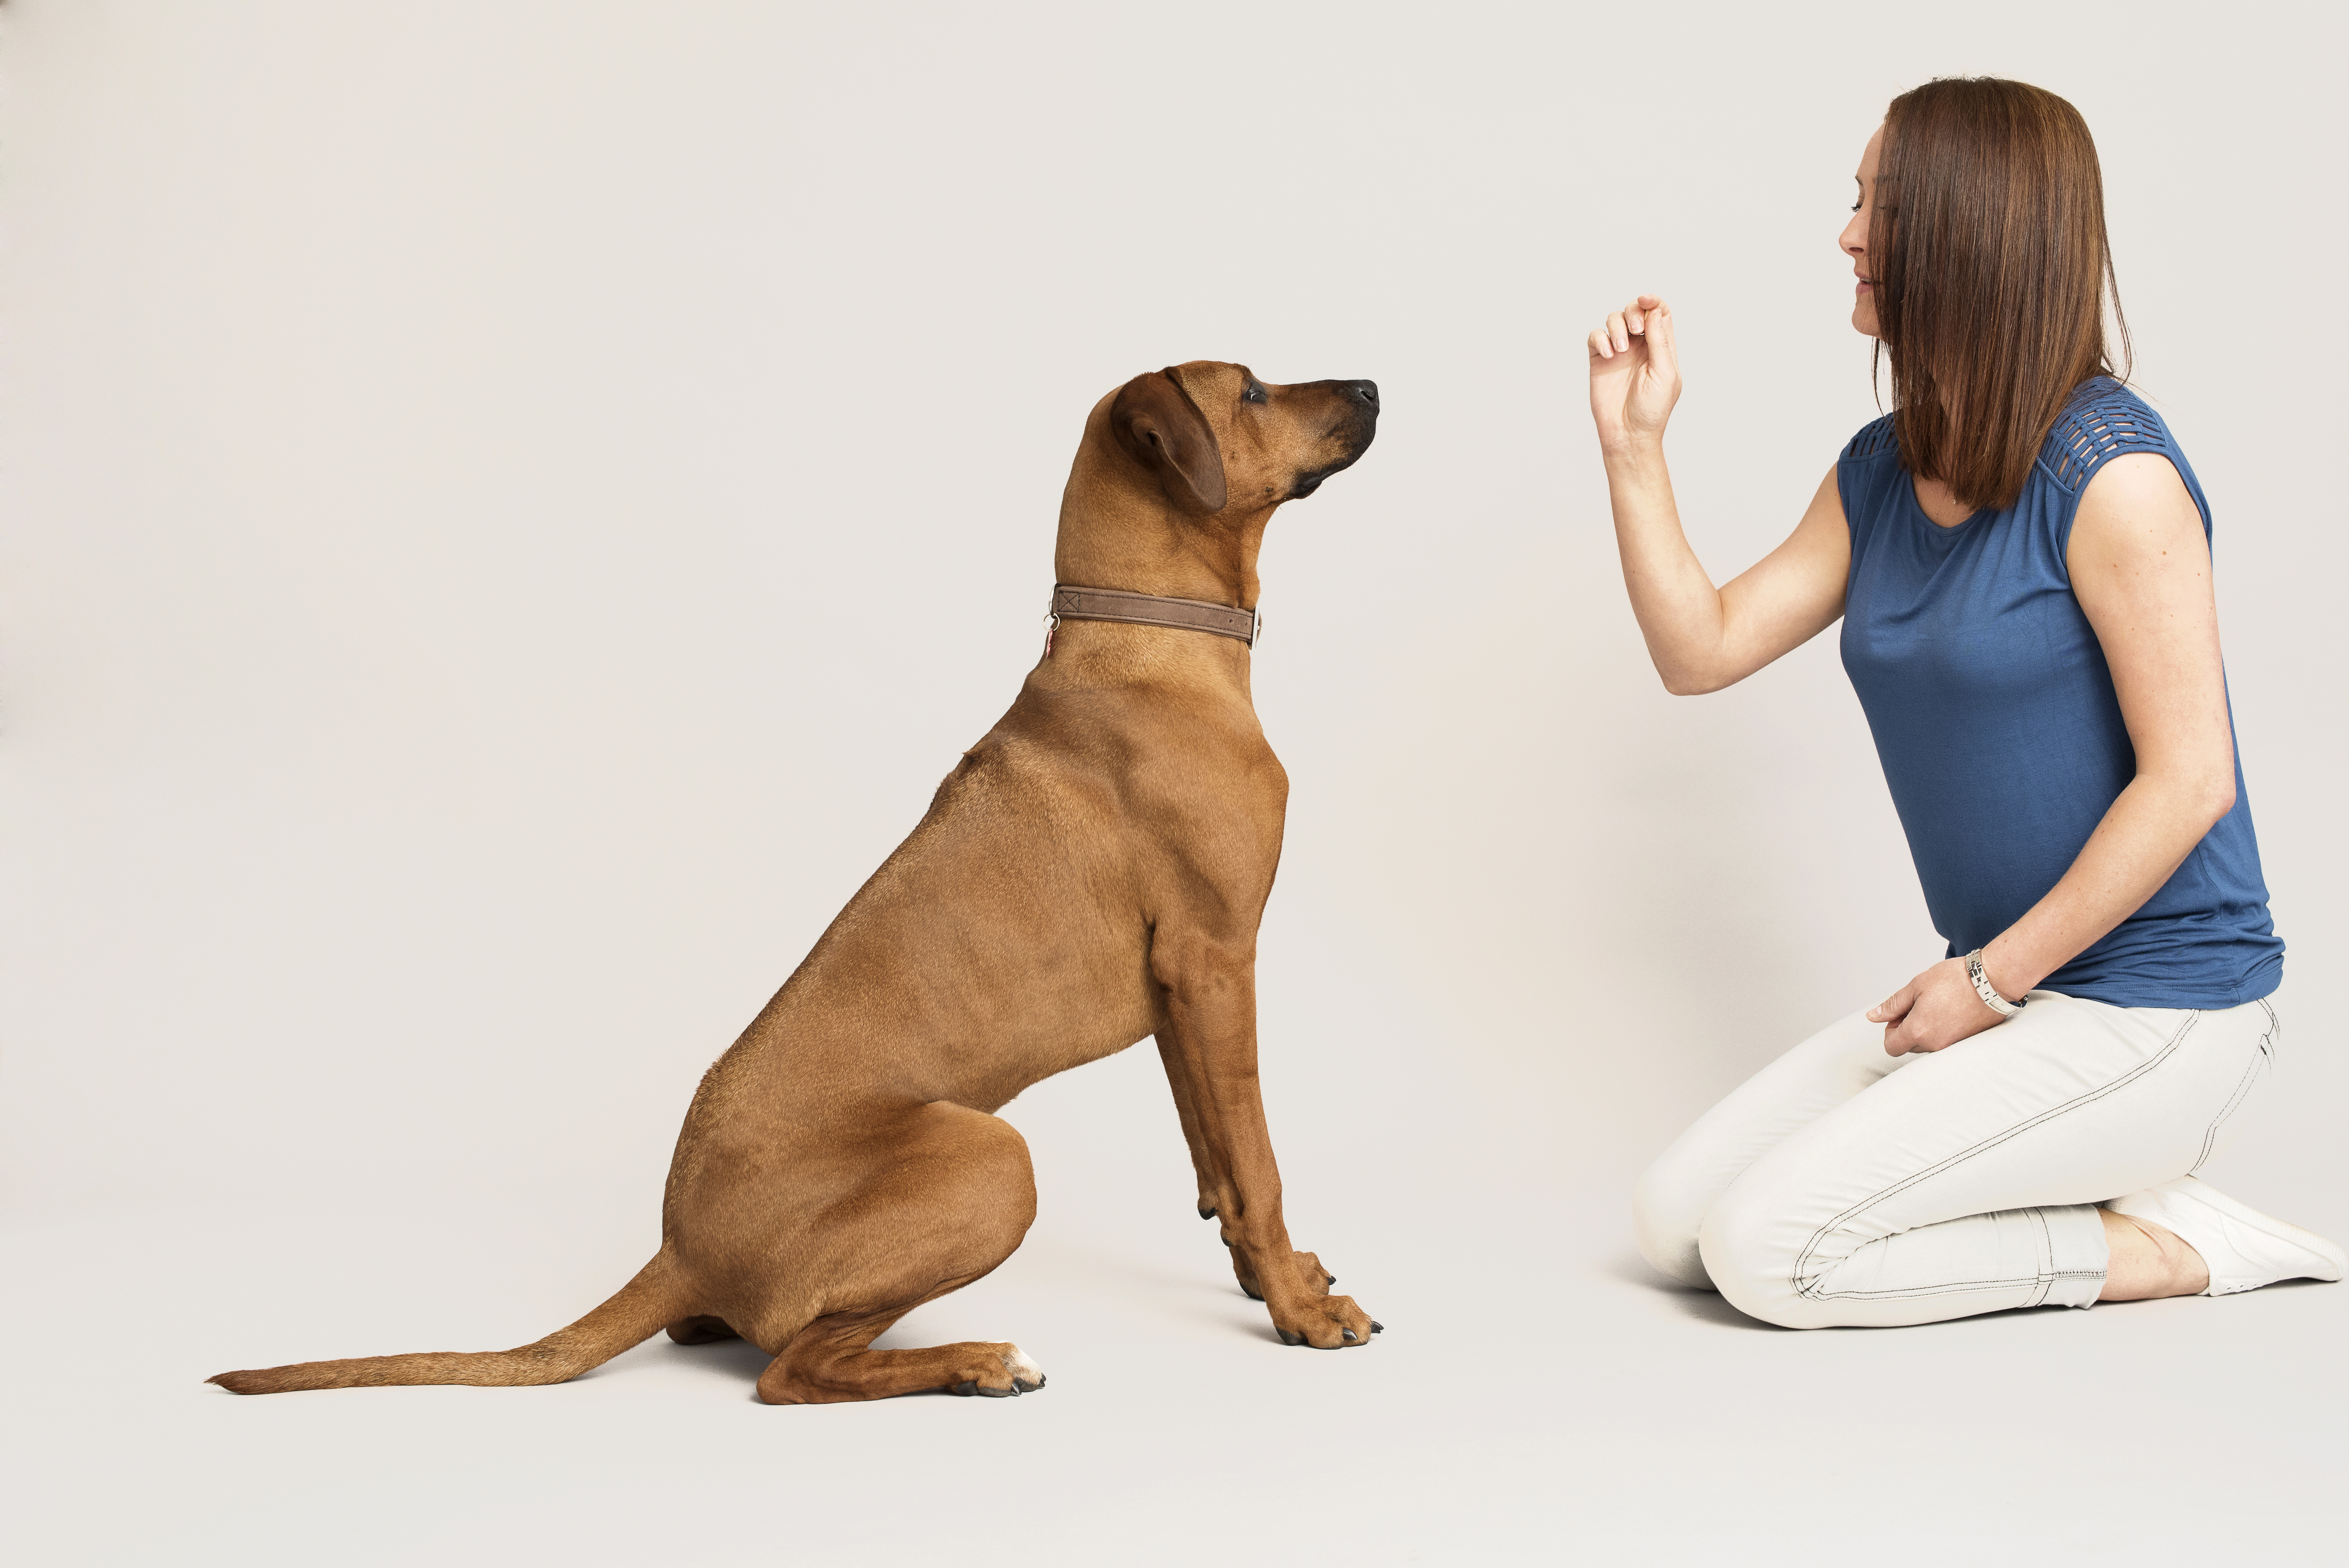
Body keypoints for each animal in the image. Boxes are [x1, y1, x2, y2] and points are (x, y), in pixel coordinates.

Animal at [207, 361, 1372, 1399]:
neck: (1142, 641)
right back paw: (976, 1361)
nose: (1370, 386)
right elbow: (1258, 1164)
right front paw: (1301, 1315)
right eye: (1252, 390)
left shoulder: (1182, 994)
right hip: (990, 1153)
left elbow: (1214, 1158)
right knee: (789, 1371)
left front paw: (1276, 1281)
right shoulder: (1216, 962)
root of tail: (678, 1249)